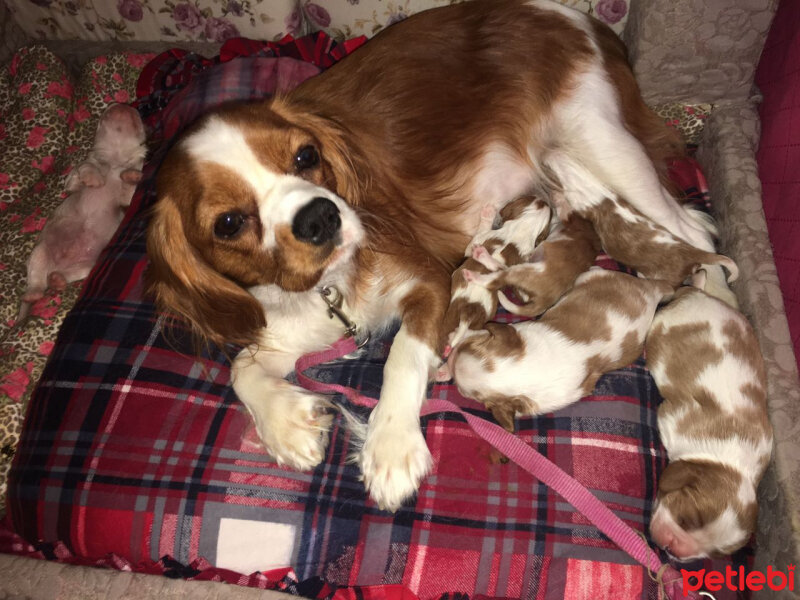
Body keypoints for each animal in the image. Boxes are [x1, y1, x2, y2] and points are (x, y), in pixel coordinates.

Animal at [19, 103, 147, 322]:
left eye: (138, 117)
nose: (123, 104)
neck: (115, 160)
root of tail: (58, 265)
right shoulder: (73, 179)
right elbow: (86, 167)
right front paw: (94, 179)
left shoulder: (125, 198)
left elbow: (129, 187)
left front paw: (131, 175)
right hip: (39, 253)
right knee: (36, 282)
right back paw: (34, 292)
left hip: (86, 266)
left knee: (63, 277)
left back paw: (58, 280)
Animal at [648, 288, 772, 560]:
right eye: (686, 520)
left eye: (711, 555)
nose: (675, 549)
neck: (732, 461)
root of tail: (696, 292)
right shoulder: (670, 419)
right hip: (661, 324)